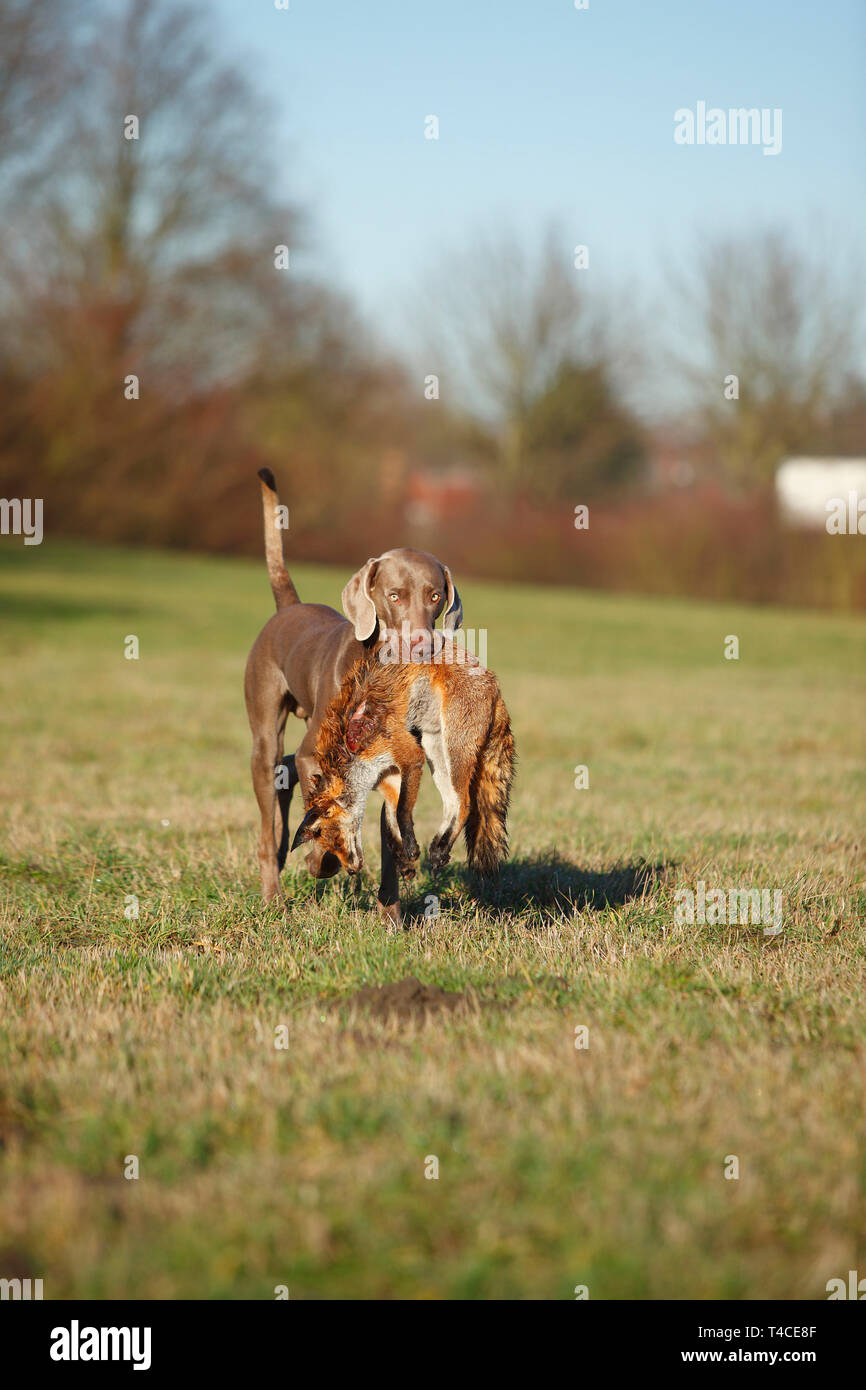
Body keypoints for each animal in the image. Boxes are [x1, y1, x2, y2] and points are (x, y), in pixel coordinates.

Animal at [287, 647, 517, 878]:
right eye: (330, 848)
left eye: (335, 840)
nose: (351, 871)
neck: (353, 748)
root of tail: (493, 681)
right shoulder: (388, 776)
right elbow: (393, 818)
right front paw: (404, 856)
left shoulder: (410, 756)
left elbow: (401, 811)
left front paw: (409, 849)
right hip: (435, 748)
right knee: (452, 802)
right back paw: (438, 848)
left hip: (453, 749)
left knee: (465, 803)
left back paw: (441, 849)